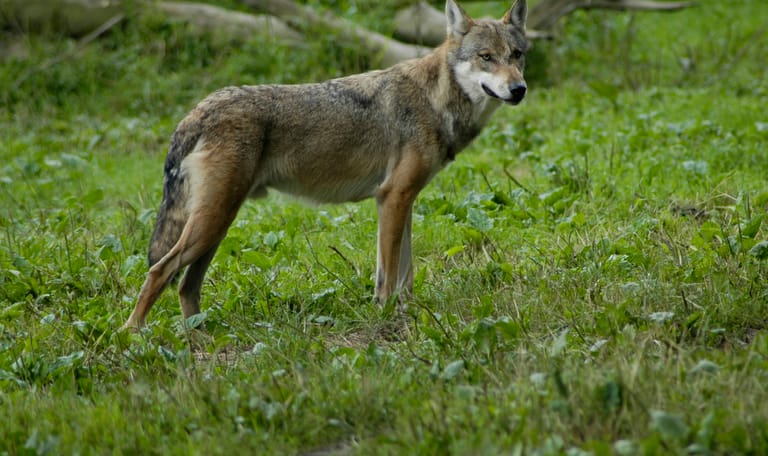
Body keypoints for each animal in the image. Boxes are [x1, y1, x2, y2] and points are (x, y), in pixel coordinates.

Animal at [122, 0, 530, 329]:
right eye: (486, 57)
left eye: (517, 55)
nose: (519, 90)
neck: (435, 99)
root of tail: (197, 110)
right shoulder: (393, 197)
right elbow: (388, 276)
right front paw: (386, 318)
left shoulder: (401, 201)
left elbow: (404, 274)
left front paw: (409, 314)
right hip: (212, 222)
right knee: (159, 272)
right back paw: (134, 337)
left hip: (216, 225)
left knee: (186, 286)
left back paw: (199, 339)